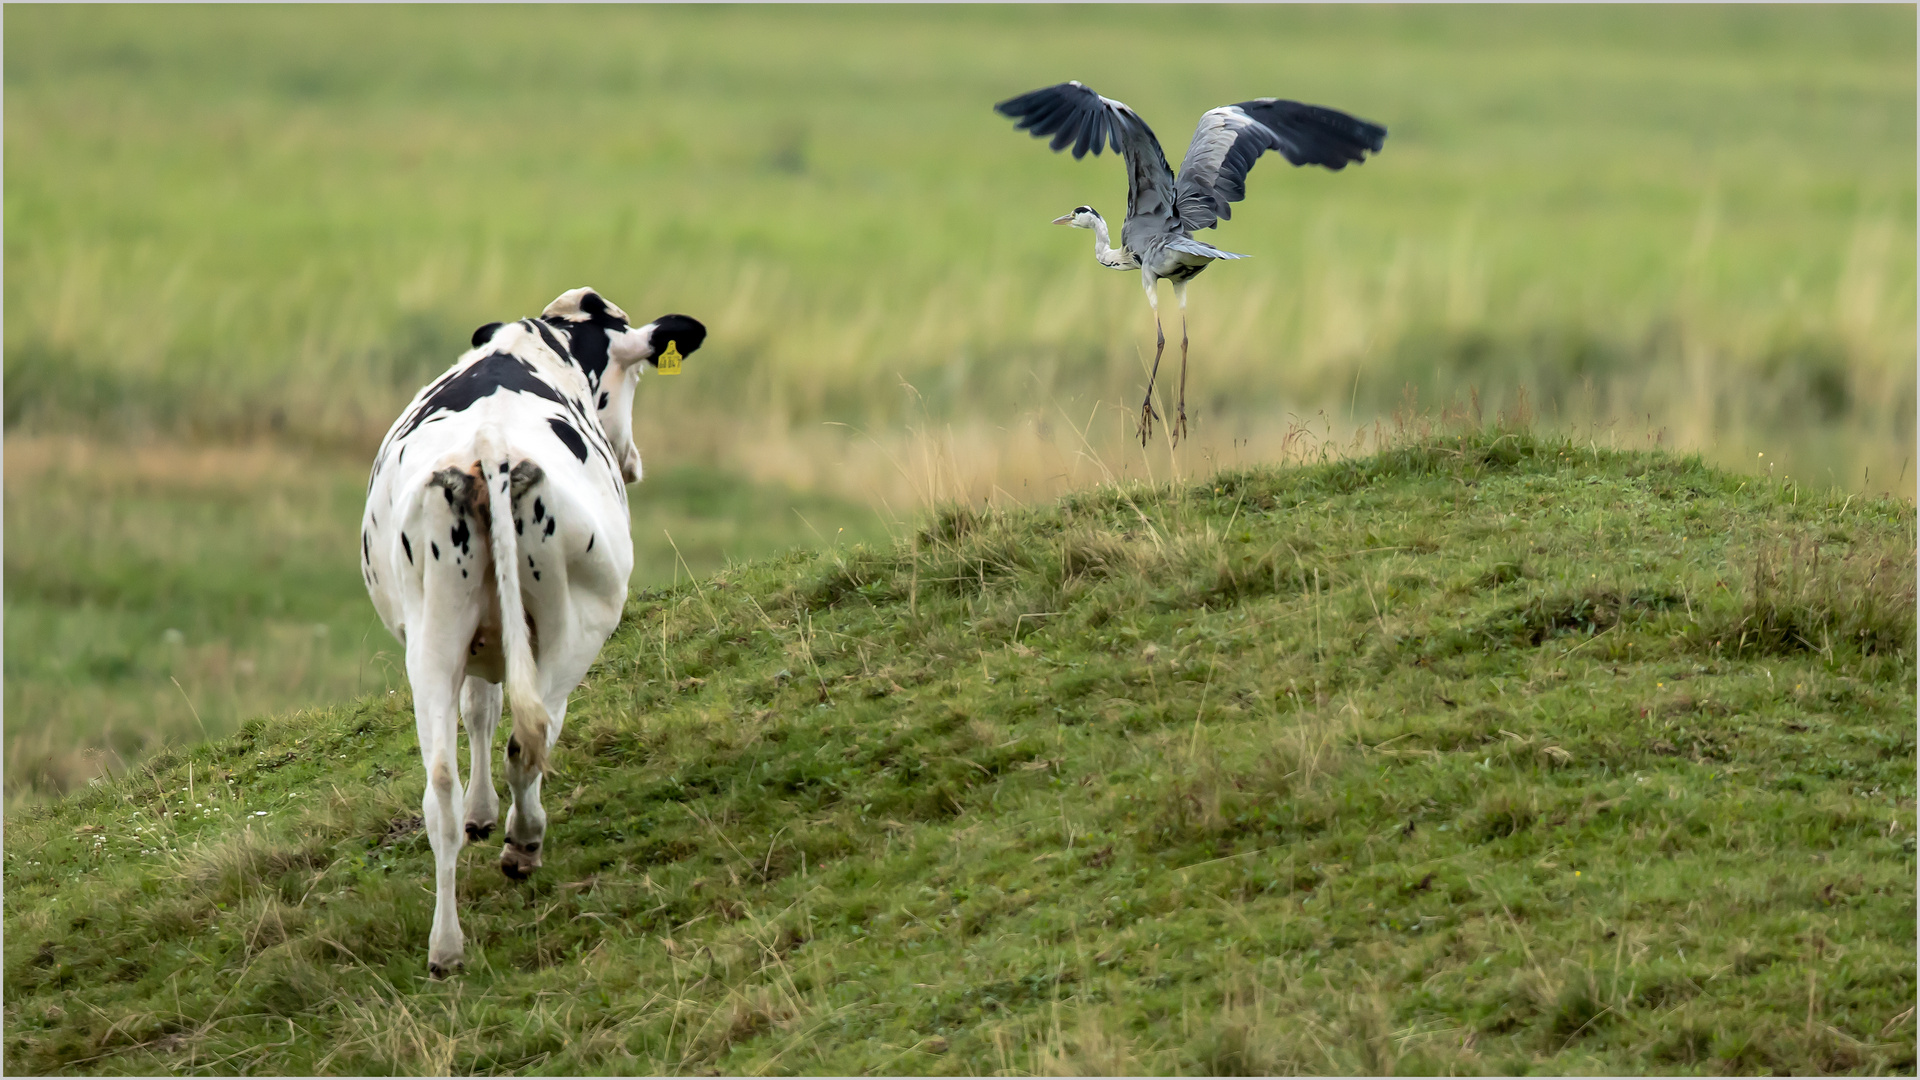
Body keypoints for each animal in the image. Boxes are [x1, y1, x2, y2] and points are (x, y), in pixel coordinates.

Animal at [360, 288, 706, 976]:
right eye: (637, 378)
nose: (633, 462)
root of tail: (490, 449)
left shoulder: (476, 646)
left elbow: (479, 714)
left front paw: (481, 815)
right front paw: (505, 828)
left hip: (433, 637)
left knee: (439, 786)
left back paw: (446, 947)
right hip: (577, 625)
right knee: (533, 738)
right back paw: (525, 843)